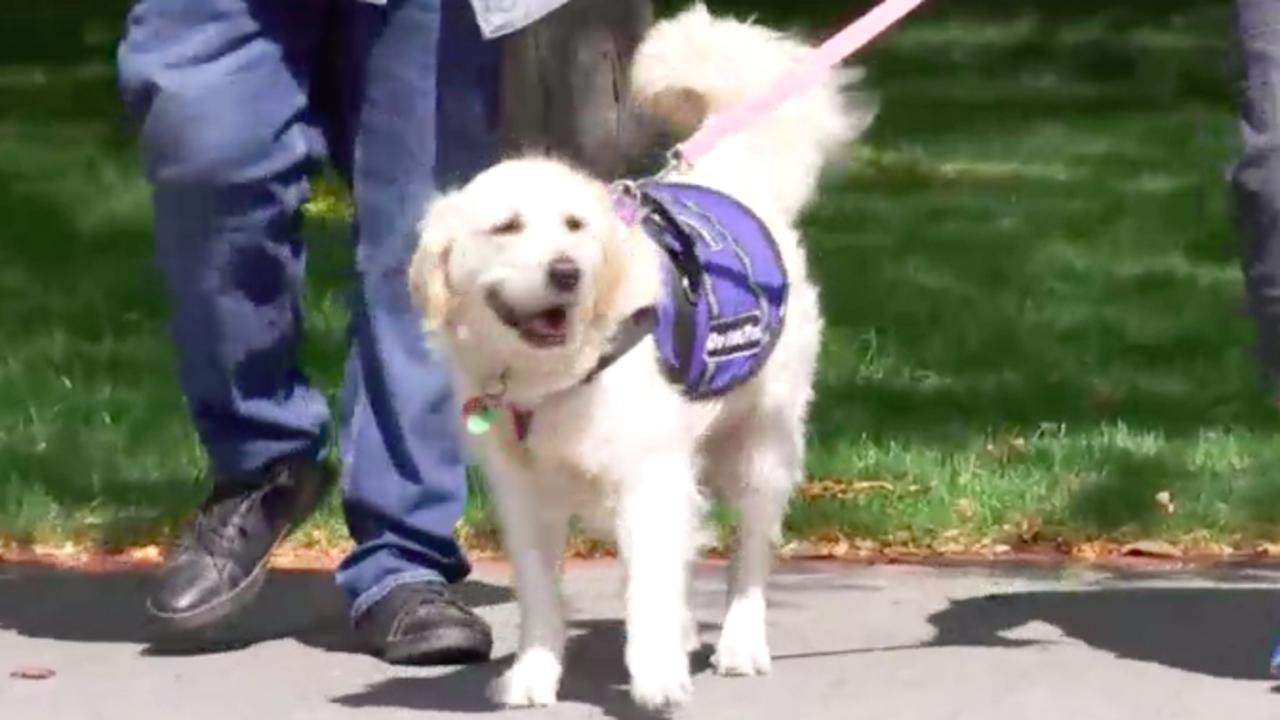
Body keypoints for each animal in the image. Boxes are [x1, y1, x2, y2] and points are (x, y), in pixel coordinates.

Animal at [409, 4, 880, 707]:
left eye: (575, 225)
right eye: (507, 227)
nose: (567, 271)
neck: (561, 375)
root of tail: (726, 175)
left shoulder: (648, 474)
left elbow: (649, 589)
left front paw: (656, 675)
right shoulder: (524, 495)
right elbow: (542, 597)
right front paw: (535, 674)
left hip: (760, 445)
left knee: (748, 558)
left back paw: (740, 644)